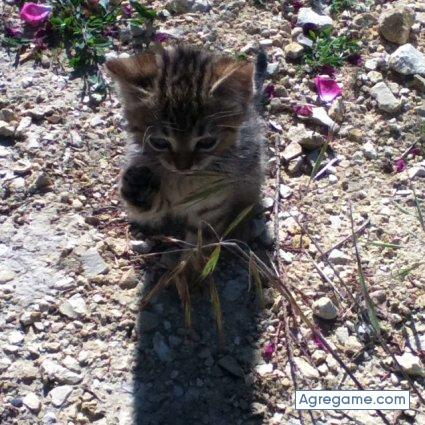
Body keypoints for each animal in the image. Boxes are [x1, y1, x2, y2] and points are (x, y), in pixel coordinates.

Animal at [106, 45, 267, 245]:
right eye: (159, 142)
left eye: (207, 142)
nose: (183, 166)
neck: (181, 182)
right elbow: (151, 210)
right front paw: (138, 187)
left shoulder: (211, 205)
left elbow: (199, 243)